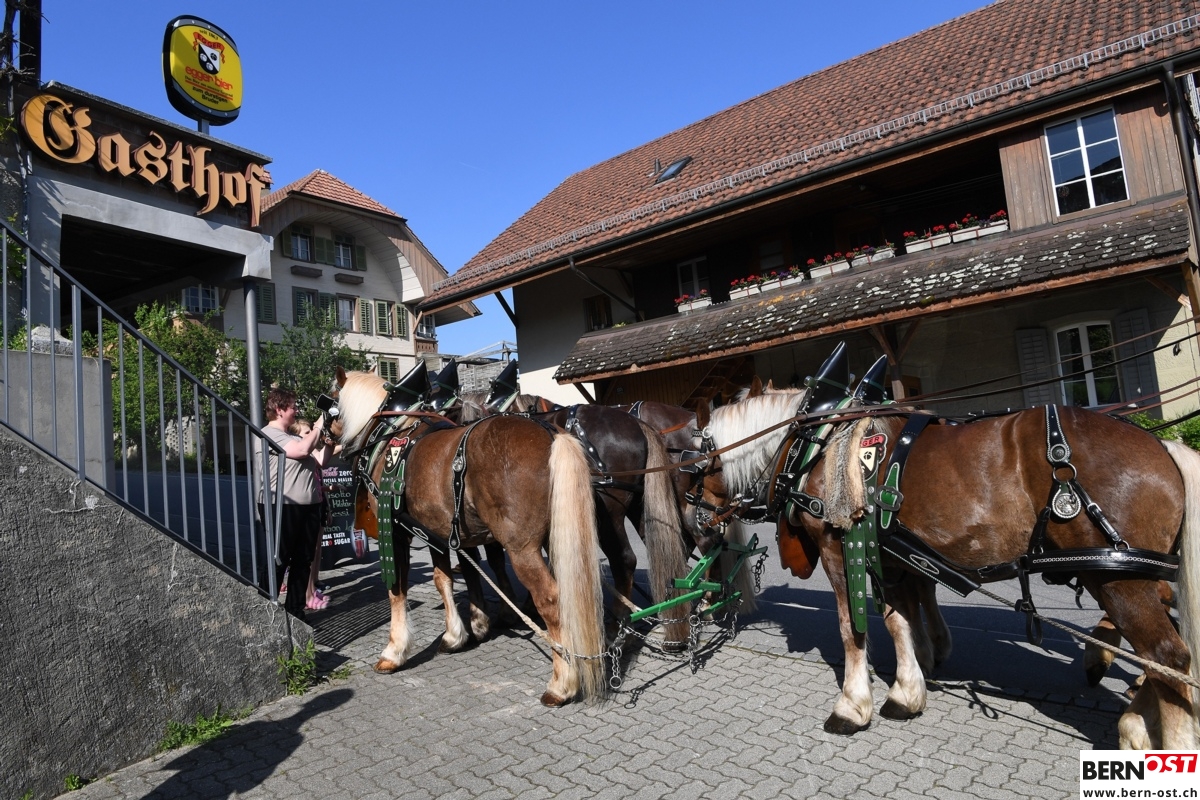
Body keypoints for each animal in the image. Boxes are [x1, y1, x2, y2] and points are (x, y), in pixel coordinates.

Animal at [331, 368, 607, 706]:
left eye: (328, 403)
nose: (328, 441)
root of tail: (551, 435)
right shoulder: (436, 529)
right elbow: (445, 578)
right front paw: (458, 634)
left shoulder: (395, 532)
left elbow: (397, 590)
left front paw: (394, 651)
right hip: (553, 540)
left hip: (522, 549)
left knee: (551, 599)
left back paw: (561, 683)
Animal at [707, 386, 1200, 748]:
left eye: (701, 457)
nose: (701, 517)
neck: (819, 445)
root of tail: (1162, 444)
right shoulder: (891, 551)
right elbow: (899, 619)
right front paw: (907, 690)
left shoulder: (836, 545)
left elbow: (853, 627)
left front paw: (852, 704)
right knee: (1164, 658)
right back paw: (1135, 724)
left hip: (1117, 578)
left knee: (1168, 657)